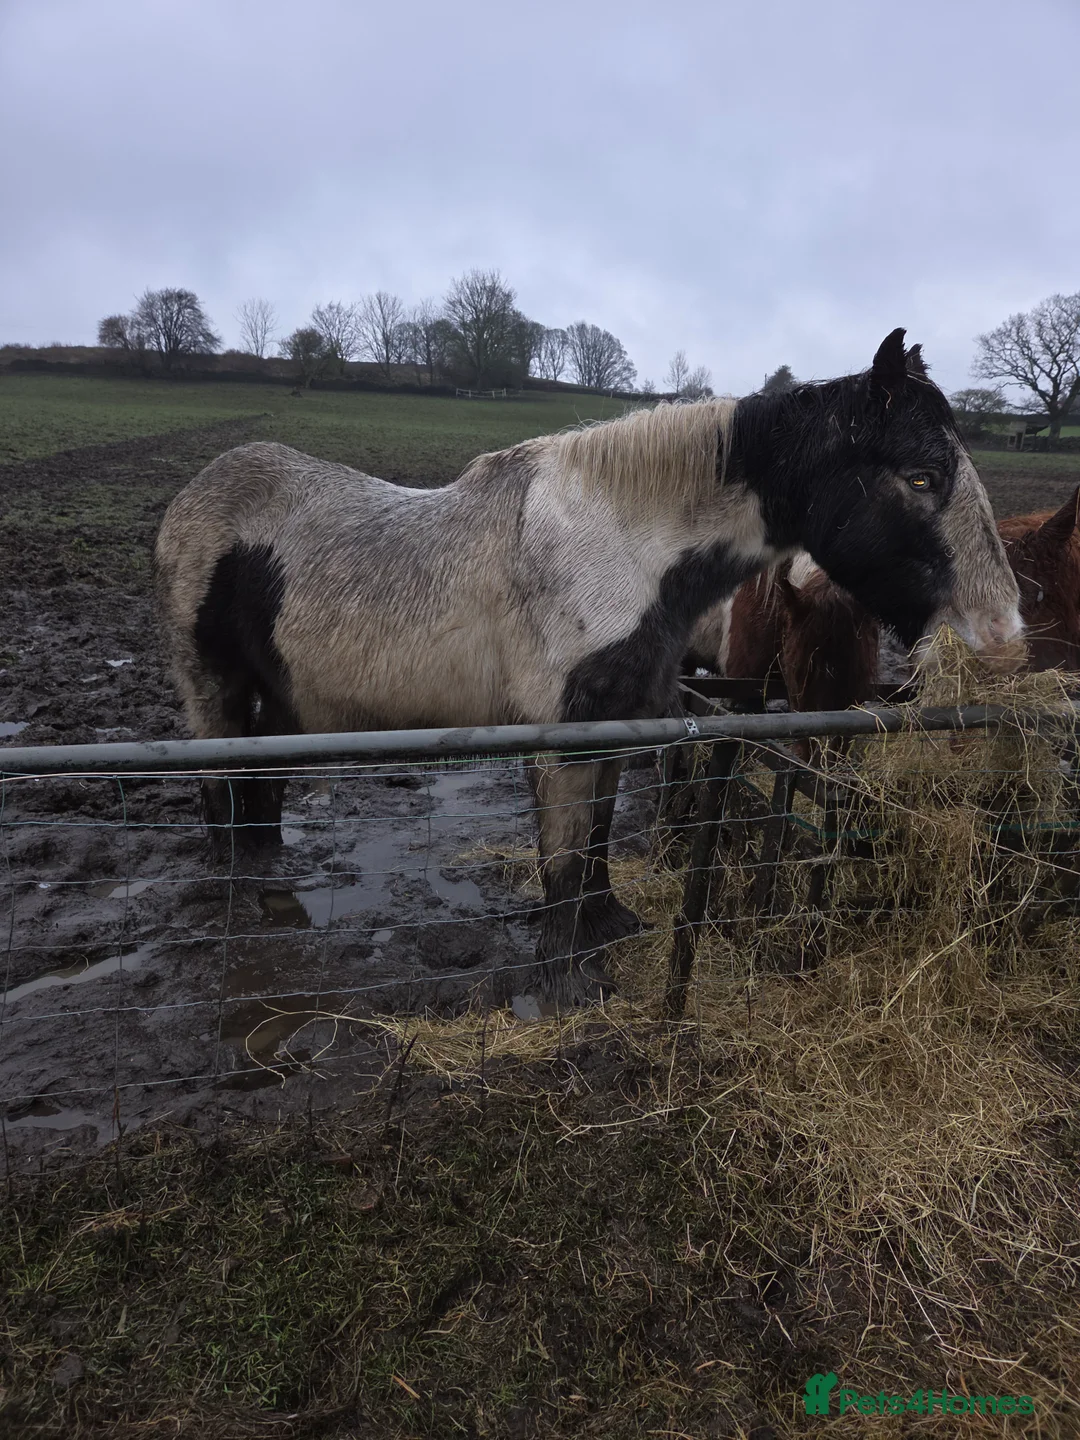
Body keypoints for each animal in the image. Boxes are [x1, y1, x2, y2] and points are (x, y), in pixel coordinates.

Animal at [154, 328, 1021, 1005]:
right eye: (920, 477)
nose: (1006, 629)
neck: (619, 546)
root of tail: (194, 497)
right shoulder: (561, 737)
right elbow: (565, 858)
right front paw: (564, 983)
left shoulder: (616, 724)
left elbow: (599, 838)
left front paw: (607, 928)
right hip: (214, 690)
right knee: (219, 788)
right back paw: (239, 898)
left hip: (281, 698)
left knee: (262, 783)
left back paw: (268, 877)